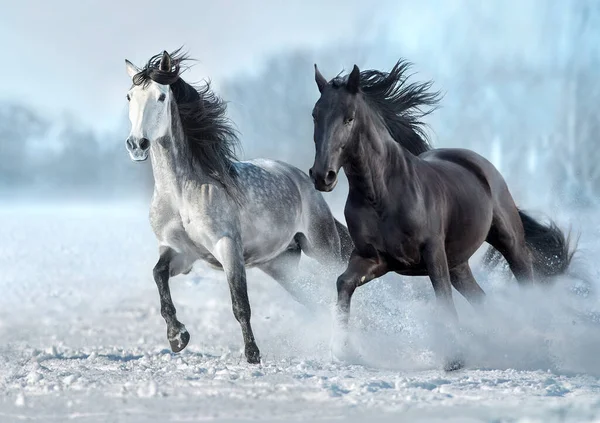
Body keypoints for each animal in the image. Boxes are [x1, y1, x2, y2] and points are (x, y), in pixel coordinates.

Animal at [308, 59, 576, 372]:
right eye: (315, 115)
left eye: (349, 118)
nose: (322, 176)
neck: (382, 195)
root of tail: (479, 164)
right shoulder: (373, 258)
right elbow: (343, 283)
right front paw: (343, 350)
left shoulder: (432, 253)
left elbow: (443, 299)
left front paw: (455, 358)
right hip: (458, 264)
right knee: (481, 299)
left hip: (509, 242)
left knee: (526, 281)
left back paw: (538, 346)